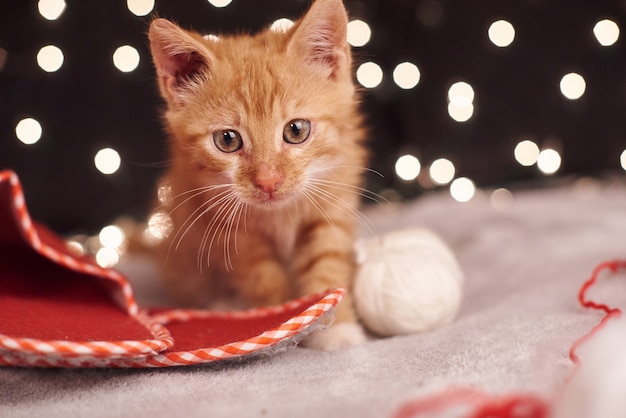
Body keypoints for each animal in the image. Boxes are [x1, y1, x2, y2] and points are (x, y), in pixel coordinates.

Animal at [149, 0, 368, 350]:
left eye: (296, 130)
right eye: (227, 140)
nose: (268, 181)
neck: (280, 213)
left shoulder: (333, 200)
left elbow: (328, 262)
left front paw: (335, 327)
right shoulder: (226, 225)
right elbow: (262, 277)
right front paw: (285, 319)